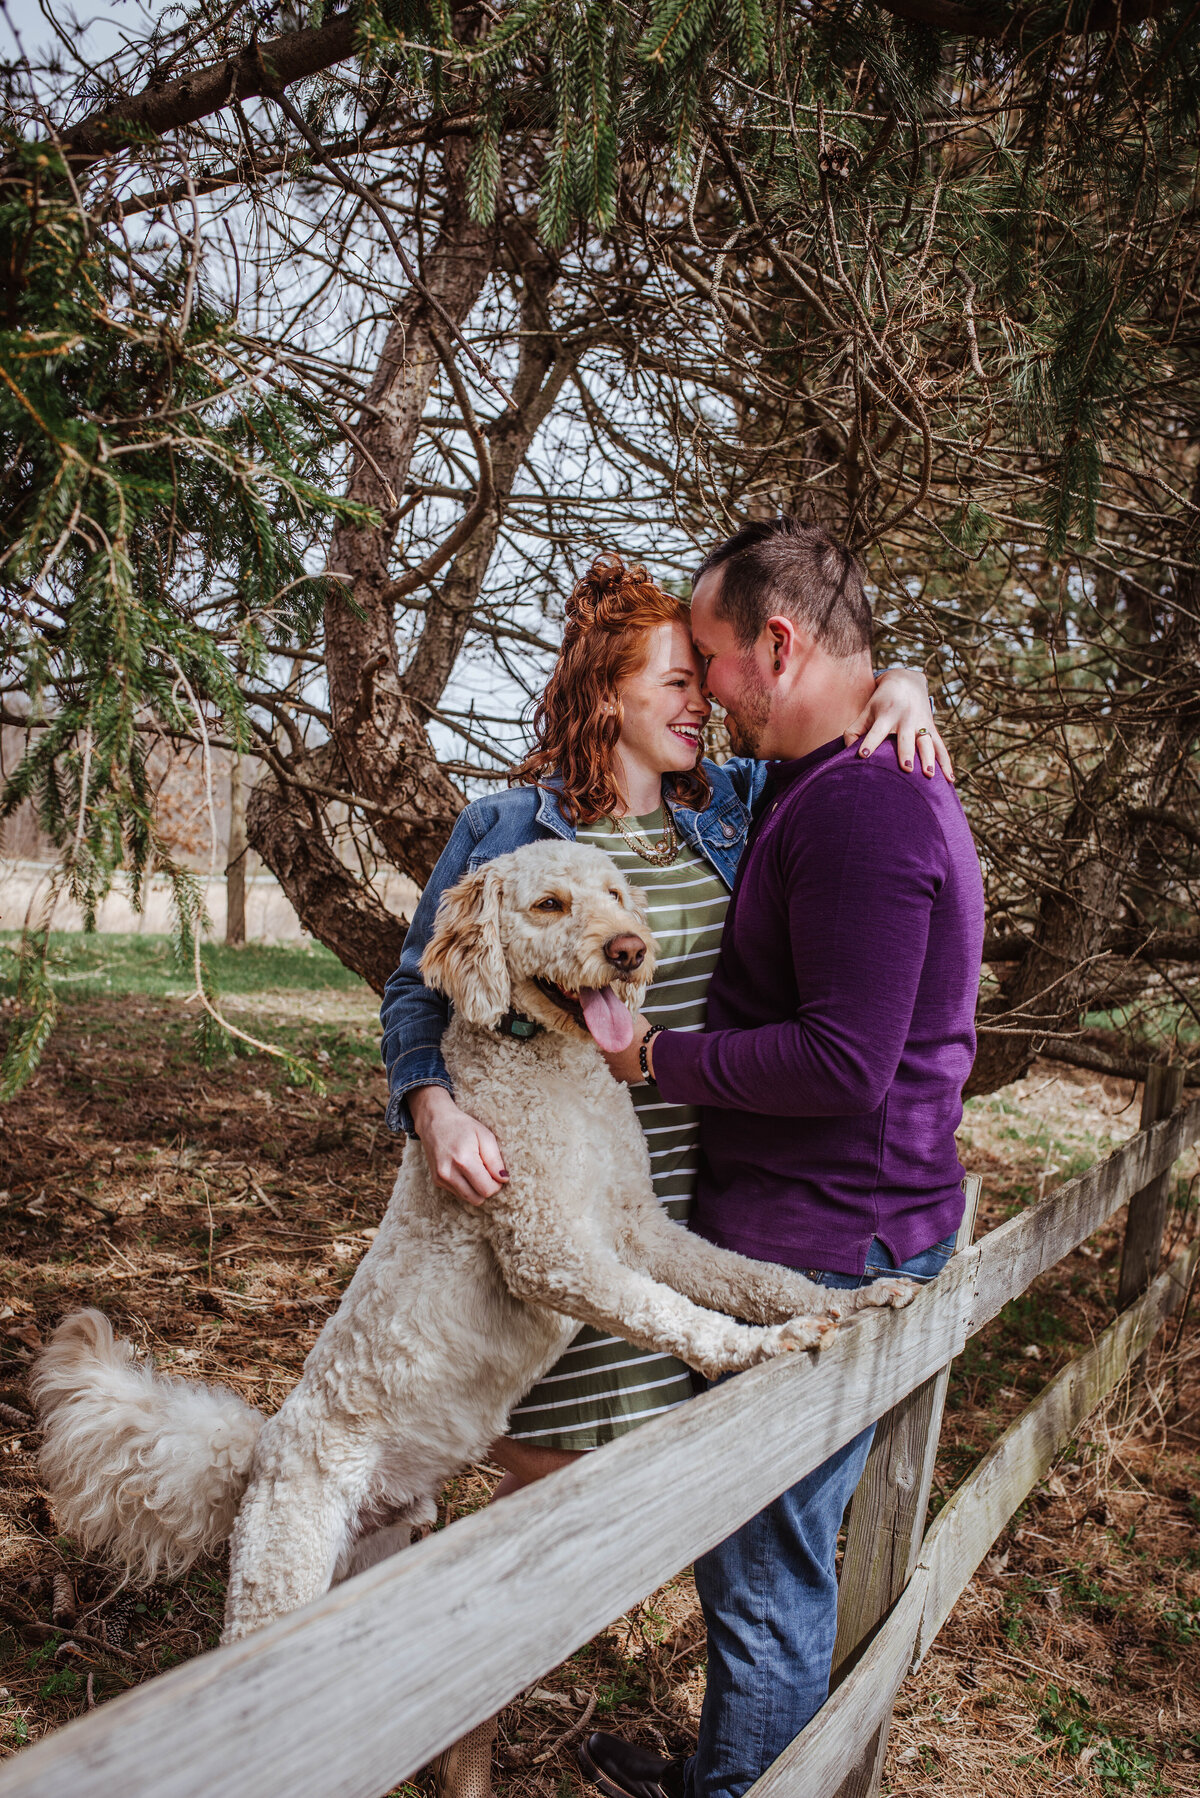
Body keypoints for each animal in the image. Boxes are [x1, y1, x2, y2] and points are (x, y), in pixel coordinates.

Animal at [30, 841, 910, 1646]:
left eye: (616, 893)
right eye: (550, 905)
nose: (630, 949)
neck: (550, 1067)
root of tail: (262, 1448)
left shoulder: (641, 1228)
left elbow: (748, 1276)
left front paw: (849, 1298)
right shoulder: (551, 1251)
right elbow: (671, 1313)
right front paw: (759, 1348)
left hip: (370, 1565)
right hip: (282, 1578)